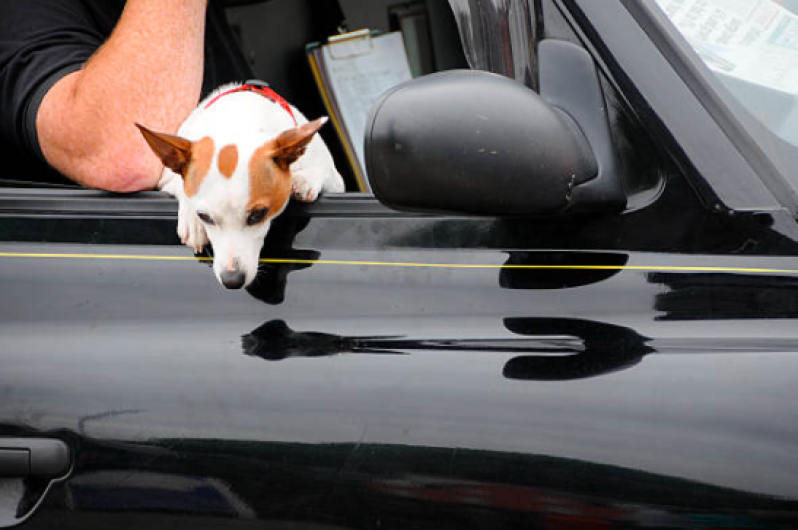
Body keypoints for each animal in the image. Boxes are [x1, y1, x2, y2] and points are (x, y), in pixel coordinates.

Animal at [135, 81, 346, 288]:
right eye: (204, 217)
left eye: (258, 214)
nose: (232, 280)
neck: (238, 121)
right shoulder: (166, 180)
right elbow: (180, 185)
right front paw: (192, 222)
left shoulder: (336, 180)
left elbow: (324, 170)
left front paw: (304, 179)